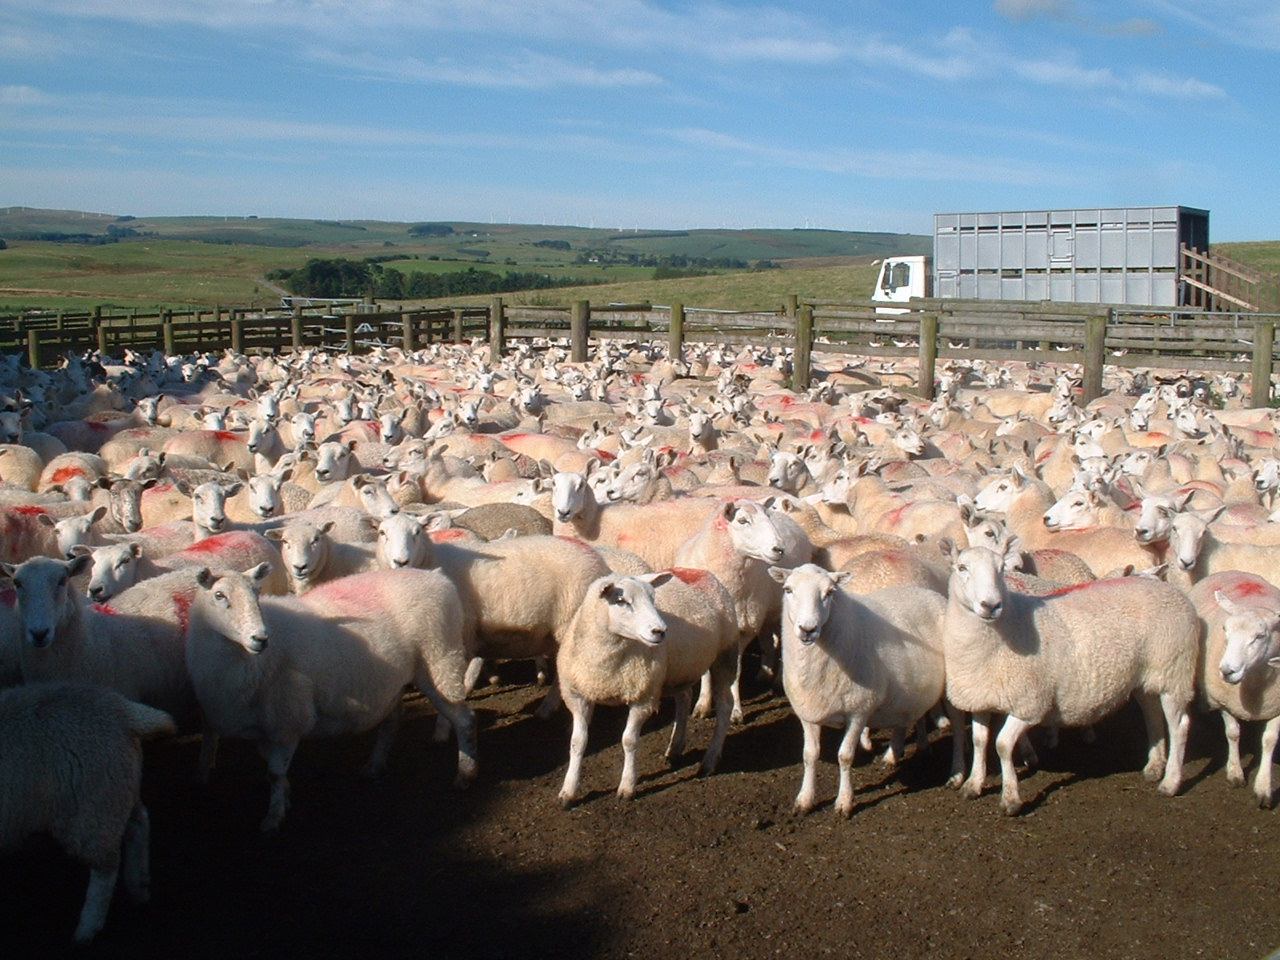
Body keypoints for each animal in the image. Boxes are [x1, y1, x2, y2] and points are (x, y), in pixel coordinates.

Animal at [0, 686, 175, 947]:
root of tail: (124, 710)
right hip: (117, 790)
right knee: (139, 822)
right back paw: (139, 886)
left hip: (91, 809)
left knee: (106, 868)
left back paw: (87, 929)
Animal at [181, 568, 476, 829]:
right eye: (219, 595)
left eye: (257, 593)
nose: (260, 638)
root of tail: (437, 577)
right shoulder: (267, 727)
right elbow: (272, 769)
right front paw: (285, 797)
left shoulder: (289, 721)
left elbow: (275, 773)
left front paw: (273, 817)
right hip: (395, 682)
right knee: (392, 720)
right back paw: (374, 766)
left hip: (440, 659)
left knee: (464, 720)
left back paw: (465, 774)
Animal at [762, 563, 957, 819]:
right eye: (788, 589)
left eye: (829, 593)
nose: (808, 629)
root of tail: (932, 595)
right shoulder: (809, 712)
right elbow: (809, 755)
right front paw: (805, 800)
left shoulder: (859, 711)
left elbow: (844, 756)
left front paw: (844, 802)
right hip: (910, 690)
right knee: (912, 715)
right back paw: (902, 751)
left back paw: (953, 770)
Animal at [942, 545, 1198, 814]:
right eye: (962, 568)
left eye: (1001, 568)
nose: (991, 605)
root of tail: (1172, 590)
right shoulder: (980, 696)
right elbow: (979, 741)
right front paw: (973, 784)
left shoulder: (1030, 704)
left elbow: (1002, 745)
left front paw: (1011, 798)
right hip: (1146, 677)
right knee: (1152, 714)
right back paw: (1154, 767)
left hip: (1175, 671)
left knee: (1179, 726)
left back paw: (1170, 782)